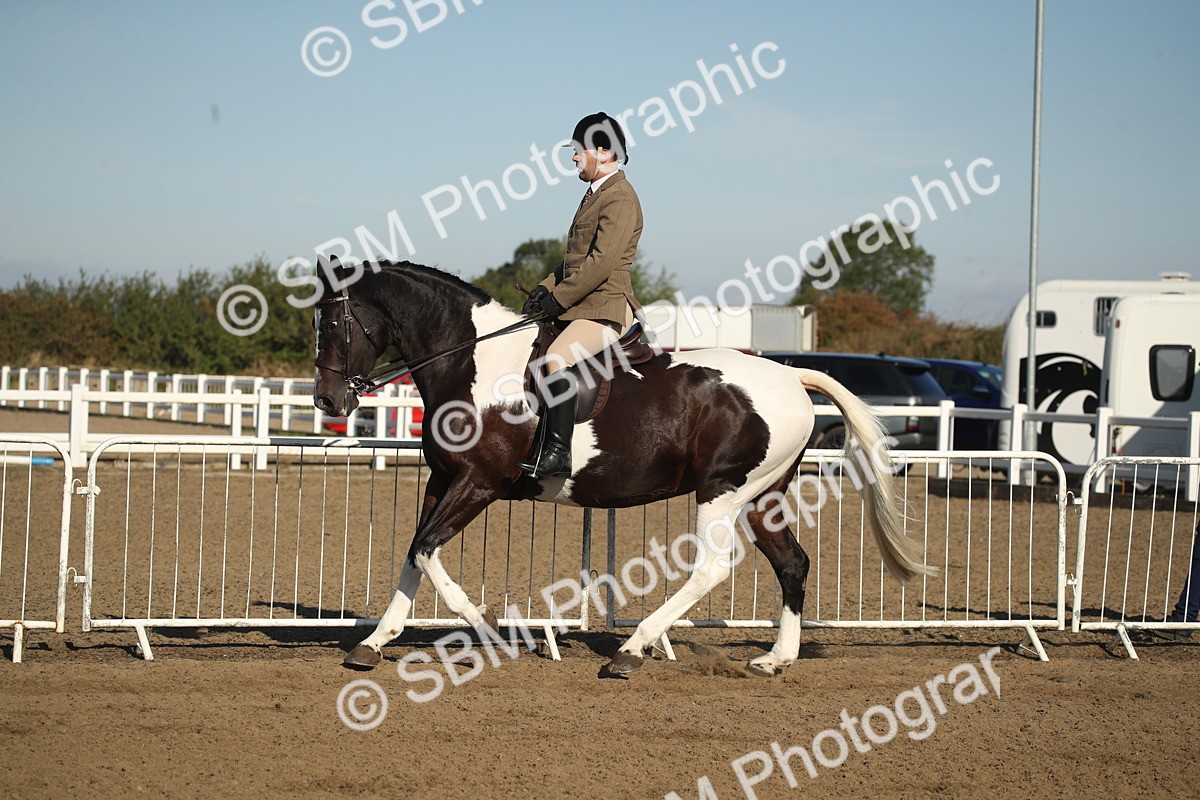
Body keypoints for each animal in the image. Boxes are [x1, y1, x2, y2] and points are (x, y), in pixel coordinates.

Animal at [311, 259, 930, 677]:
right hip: (762, 497)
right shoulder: (443, 481)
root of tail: (789, 375)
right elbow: (414, 551)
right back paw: (776, 659)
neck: (472, 363)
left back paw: (633, 650)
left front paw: (492, 632)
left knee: (713, 568)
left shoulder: (478, 483)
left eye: (335, 323)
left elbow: (425, 551)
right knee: (792, 564)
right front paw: (374, 642)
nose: (327, 400)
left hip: (723, 491)